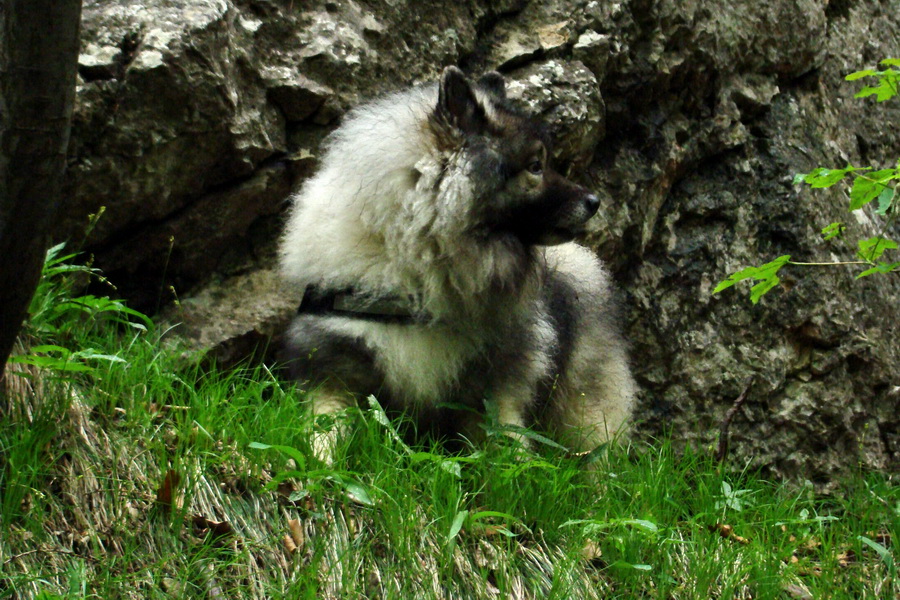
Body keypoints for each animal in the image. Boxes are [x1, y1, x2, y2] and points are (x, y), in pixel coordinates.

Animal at [280, 65, 632, 462]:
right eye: (535, 166)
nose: (594, 201)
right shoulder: (334, 375)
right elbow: (322, 432)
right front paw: (313, 464)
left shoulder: (493, 392)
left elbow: (509, 447)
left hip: (583, 406)